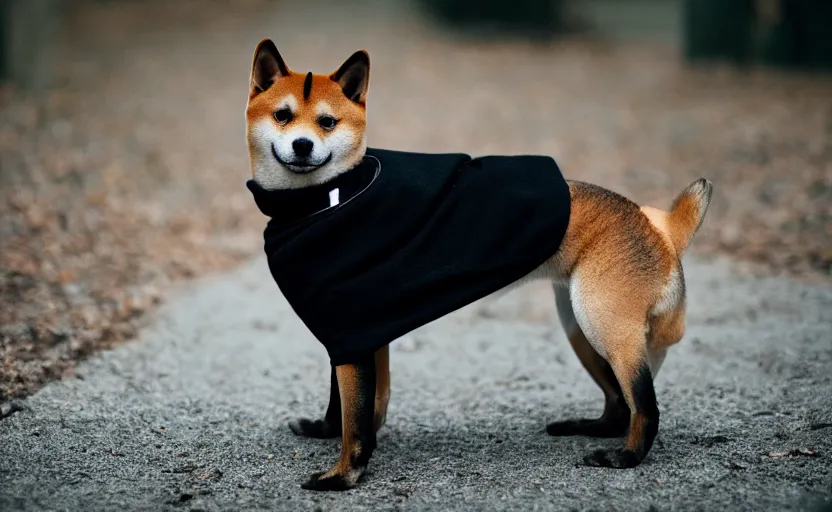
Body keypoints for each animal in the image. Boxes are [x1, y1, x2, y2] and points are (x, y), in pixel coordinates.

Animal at [244, 38, 712, 490]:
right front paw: (327, 432)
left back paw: (626, 458)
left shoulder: (349, 337)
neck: (329, 198)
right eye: (283, 116)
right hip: (581, 327)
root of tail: (660, 228)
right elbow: (353, 408)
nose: (302, 145)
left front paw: (344, 477)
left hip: (601, 324)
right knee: (620, 403)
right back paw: (591, 429)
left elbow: (355, 421)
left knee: (645, 406)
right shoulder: (357, 335)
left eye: (327, 123)